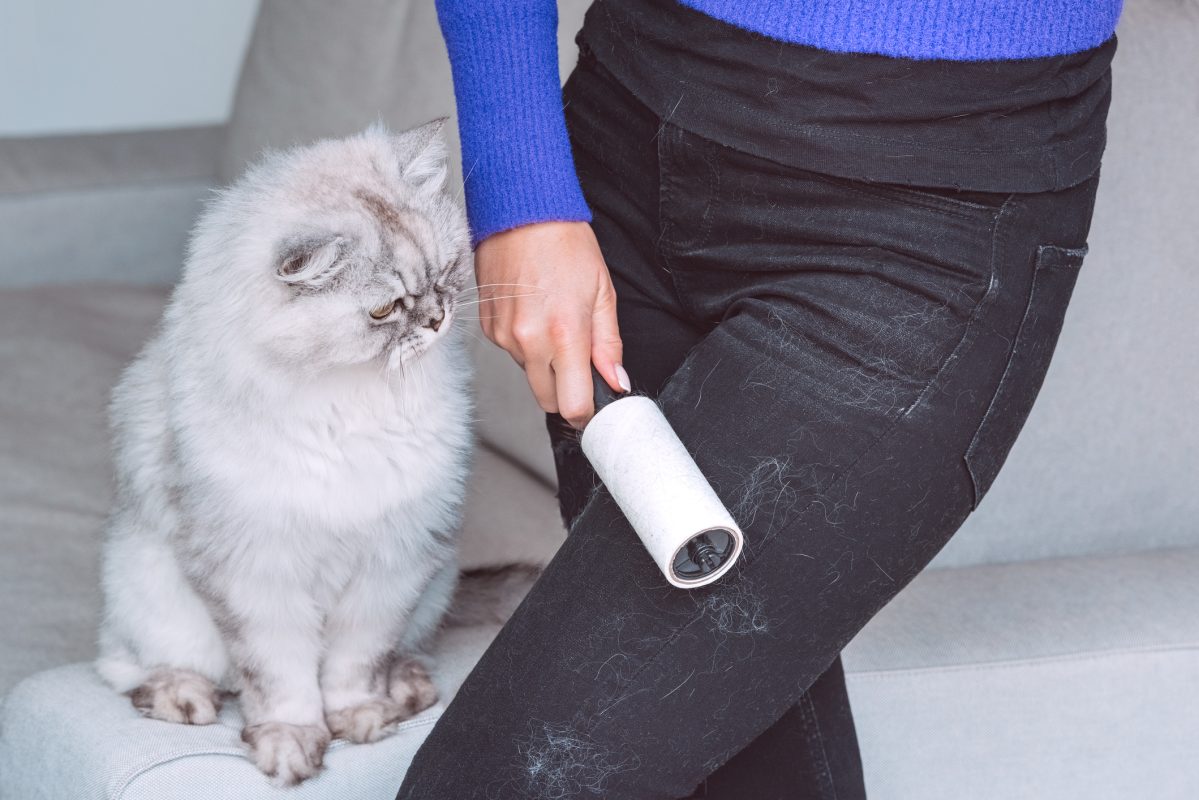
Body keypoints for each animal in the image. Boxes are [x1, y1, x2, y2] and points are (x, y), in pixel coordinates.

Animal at [95, 120, 477, 786]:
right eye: (383, 310)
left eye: (446, 272)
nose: (436, 320)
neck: (352, 397)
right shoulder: (254, 572)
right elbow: (281, 680)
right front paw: (289, 746)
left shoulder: (393, 561)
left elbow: (355, 663)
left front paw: (361, 719)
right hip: (148, 585)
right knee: (134, 667)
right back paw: (182, 698)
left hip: (436, 585)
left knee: (404, 652)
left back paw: (406, 689)